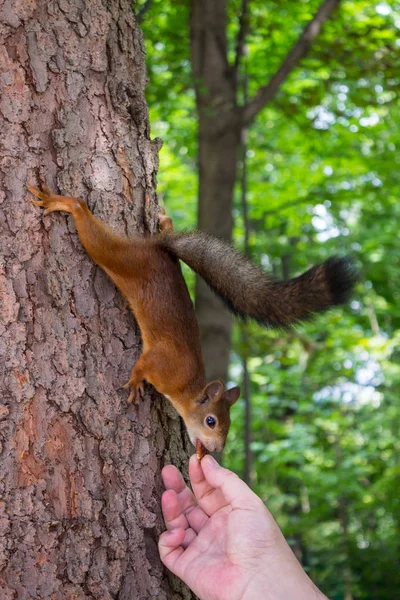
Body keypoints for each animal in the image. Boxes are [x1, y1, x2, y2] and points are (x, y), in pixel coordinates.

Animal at [26, 185, 358, 452]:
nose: (216, 450)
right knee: (90, 224)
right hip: (121, 258)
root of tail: (155, 248)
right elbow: (142, 365)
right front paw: (135, 383)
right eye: (211, 421)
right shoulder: (160, 362)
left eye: (229, 423)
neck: (186, 388)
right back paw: (64, 203)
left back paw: (163, 220)